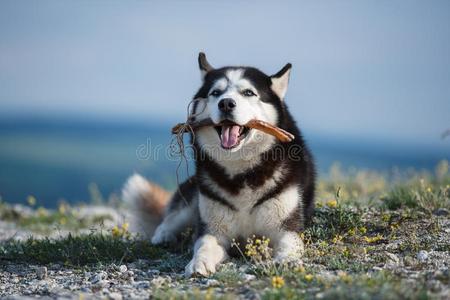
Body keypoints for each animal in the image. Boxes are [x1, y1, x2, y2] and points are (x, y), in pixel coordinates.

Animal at [121, 53, 314, 276]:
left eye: (248, 92)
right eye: (216, 93)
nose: (226, 103)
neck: (241, 172)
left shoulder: (286, 226)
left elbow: (290, 244)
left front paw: (287, 260)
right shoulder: (213, 229)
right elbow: (204, 244)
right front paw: (199, 262)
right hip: (194, 197)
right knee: (170, 218)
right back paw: (163, 236)